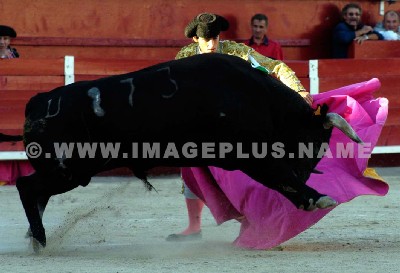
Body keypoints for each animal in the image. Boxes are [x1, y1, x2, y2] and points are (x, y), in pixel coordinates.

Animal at [0, 53, 362, 249]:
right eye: (311, 144)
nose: (306, 173)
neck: (258, 98)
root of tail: (37, 101)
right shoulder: (251, 154)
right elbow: (280, 176)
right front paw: (317, 198)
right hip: (69, 169)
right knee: (26, 186)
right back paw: (40, 239)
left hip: (67, 171)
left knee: (37, 193)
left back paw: (35, 238)